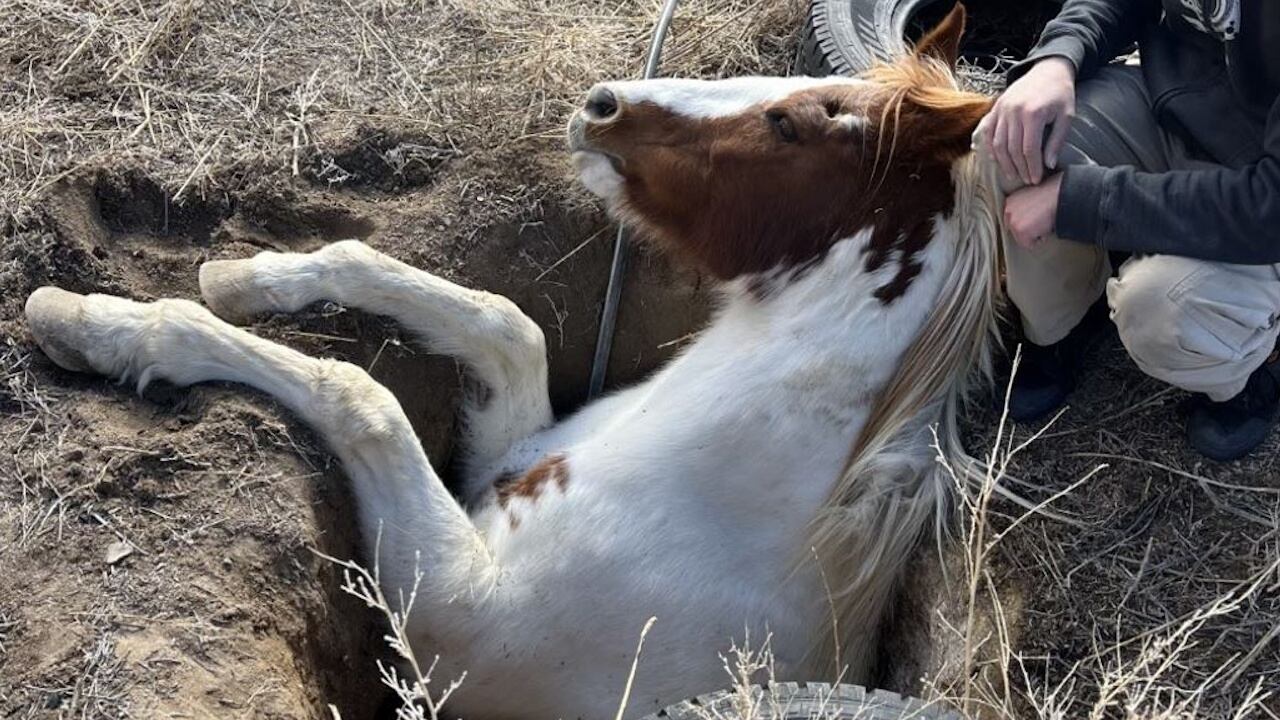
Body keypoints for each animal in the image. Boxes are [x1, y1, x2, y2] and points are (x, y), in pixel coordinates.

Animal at [23, 6, 1004, 718]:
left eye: (792, 125)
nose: (602, 104)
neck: (723, 493)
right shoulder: (493, 464)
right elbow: (500, 321)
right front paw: (244, 275)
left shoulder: (446, 614)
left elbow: (360, 396)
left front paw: (97, 322)